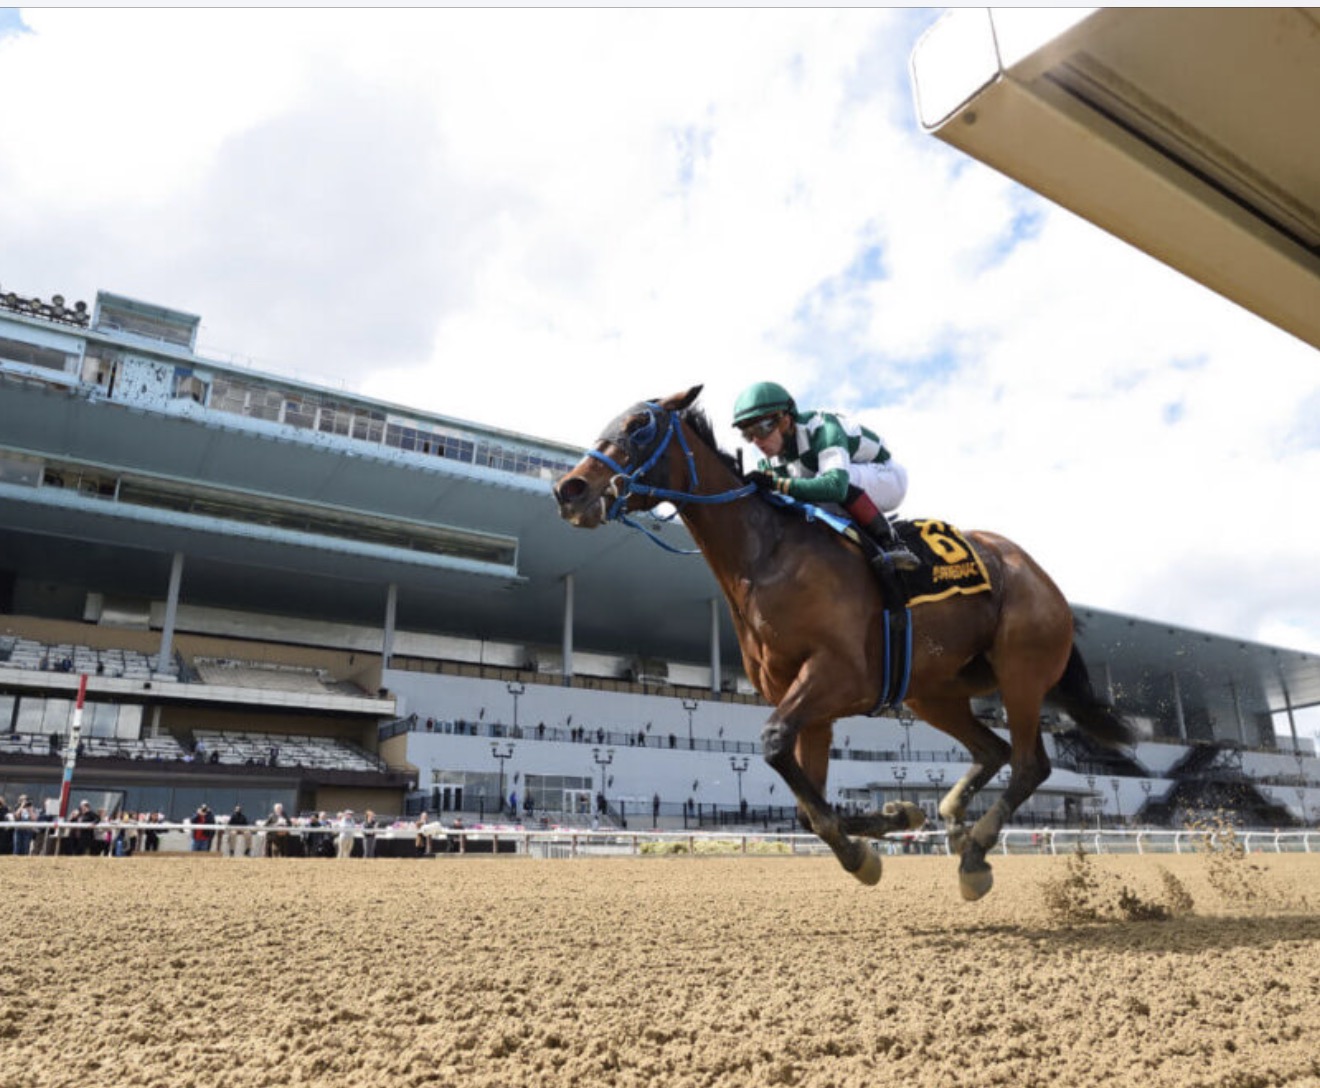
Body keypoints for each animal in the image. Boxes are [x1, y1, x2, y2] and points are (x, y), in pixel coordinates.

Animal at [551, 385, 1129, 897]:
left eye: (639, 426)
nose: (569, 490)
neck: (768, 555)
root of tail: (1039, 576)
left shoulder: (839, 674)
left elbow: (773, 743)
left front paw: (861, 850)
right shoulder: (811, 703)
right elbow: (808, 807)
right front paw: (897, 815)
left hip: (1021, 671)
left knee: (1031, 763)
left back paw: (974, 853)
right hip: (933, 691)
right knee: (994, 749)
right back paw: (954, 823)